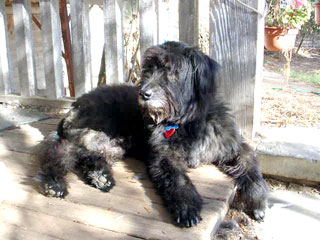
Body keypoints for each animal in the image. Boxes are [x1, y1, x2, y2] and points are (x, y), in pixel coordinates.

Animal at [37, 40, 268, 227]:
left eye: (172, 70)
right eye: (149, 68)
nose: (143, 93)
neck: (187, 120)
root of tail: (75, 105)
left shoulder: (233, 148)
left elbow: (252, 169)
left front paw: (258, 203)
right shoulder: (164, 157)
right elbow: (178, 180)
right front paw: (187, 207)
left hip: (113, 143)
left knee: (88, 156)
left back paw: (100, 177)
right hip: (95, 135)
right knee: (60, 153)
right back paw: (54, 183)